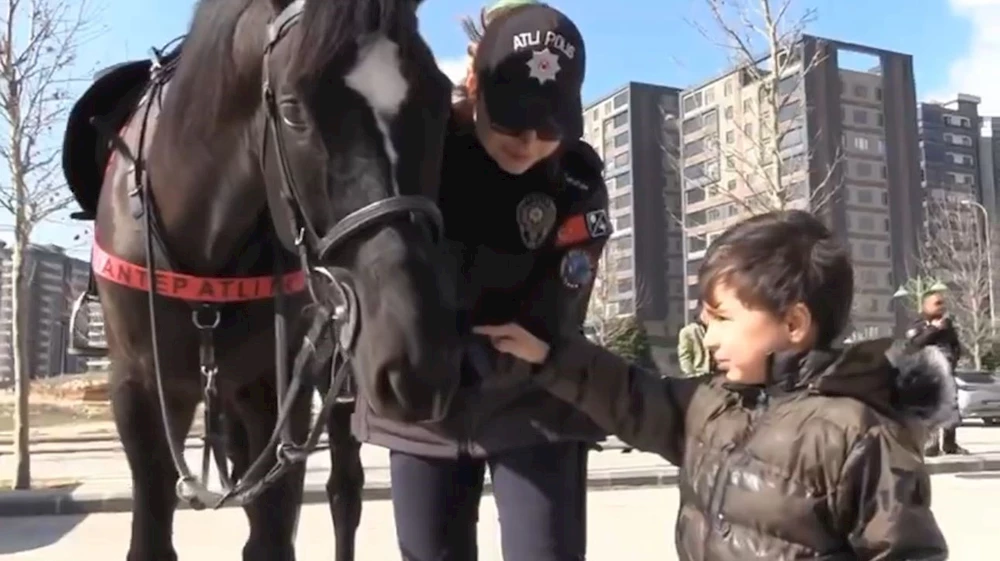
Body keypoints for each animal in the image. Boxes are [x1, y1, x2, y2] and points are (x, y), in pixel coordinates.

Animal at [64, 1, 462, 560]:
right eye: (293, 109)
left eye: (439, 99)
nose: (420, 360)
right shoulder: (138, 387)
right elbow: (153, 532)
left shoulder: (276, 389)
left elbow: (272, 531)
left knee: (344, 491)